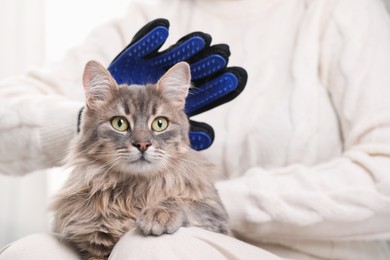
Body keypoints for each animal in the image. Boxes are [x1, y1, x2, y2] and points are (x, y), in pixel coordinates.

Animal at [50, 60, 230, 260]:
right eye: (119, 123)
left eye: (160, 124)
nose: (142, 144)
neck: (134, 190)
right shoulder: (92, 246)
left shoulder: (216, 214)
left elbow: (180, 201)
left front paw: (158, 213)